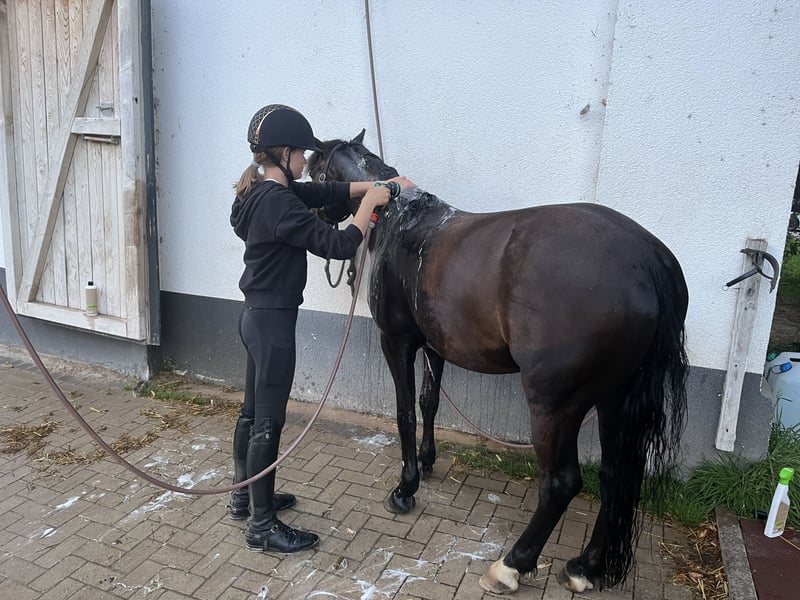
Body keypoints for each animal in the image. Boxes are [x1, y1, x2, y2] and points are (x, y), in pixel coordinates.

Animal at [307, 131, 689, 594]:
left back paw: (511, 565)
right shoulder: (435, 346)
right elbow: (429, 403)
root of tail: (648, 259)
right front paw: (428, 462)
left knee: (561, 483)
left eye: (314, 172)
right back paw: (585, 566)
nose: (311, 212)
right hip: (615, 399)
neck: (402, 220)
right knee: (617, 475)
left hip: (555, 404)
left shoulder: (396, 344)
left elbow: (404, 414)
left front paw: (405, 488)